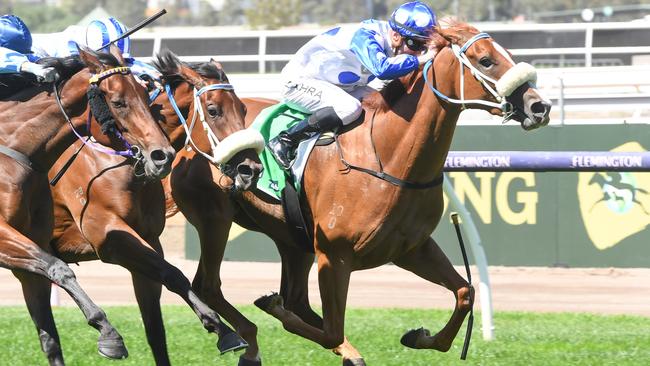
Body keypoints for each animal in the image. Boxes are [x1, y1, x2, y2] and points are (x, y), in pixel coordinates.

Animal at [0, 46, 175, 366]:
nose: (162, 156)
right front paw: (109, 334)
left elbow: (50, 337)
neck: (15, 152)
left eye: (147, 97)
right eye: (118, 103)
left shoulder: (32, 248)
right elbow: (59, 268)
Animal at [47, 50, 264, 364]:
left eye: (244, 109)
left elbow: (156, 327)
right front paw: (224, 330)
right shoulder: (108, 237)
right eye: (213, 110)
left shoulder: (147, 241)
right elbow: (173, 274)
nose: (251, 169)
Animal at [167, 20, 548, 366]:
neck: (387, 155)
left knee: (296, 298)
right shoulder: (334, 254)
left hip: (292, 238)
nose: (539, 106)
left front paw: (419, 336)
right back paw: (246, 338)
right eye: (485, 60)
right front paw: (273, 308)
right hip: (216, 219)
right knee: (208, 285)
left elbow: (465, 292)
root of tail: (186, 140)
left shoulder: (411, 247)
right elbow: (330, 330)